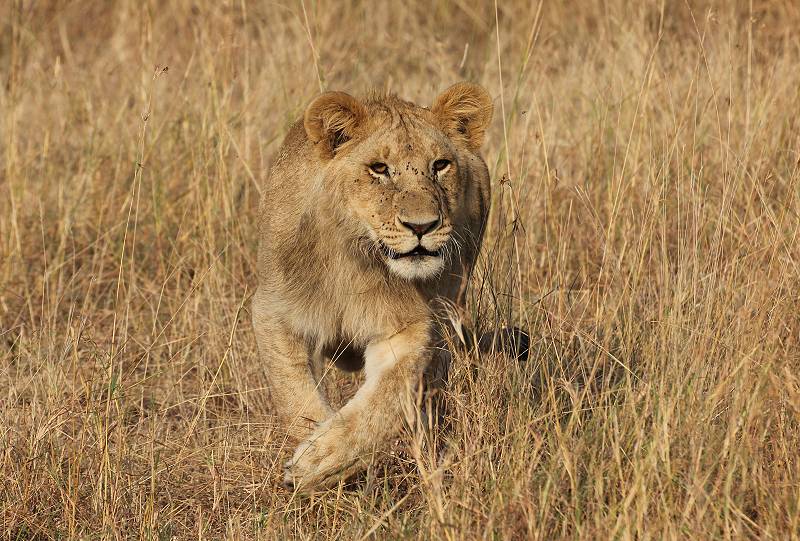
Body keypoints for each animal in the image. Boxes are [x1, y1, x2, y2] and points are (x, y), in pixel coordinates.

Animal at [253, 82, 494, 492]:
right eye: (379, 169)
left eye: (440, 165)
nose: (422, 226)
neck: (357, 259)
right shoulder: (275, 310)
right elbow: (294, 396)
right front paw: (309, 455)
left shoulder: (408, 329)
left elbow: (387, 398)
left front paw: (324, 459)